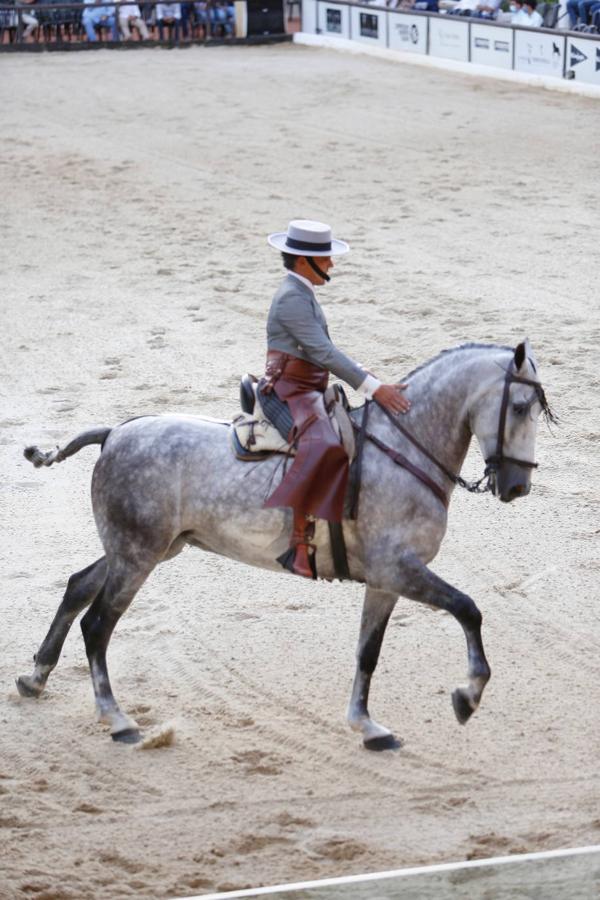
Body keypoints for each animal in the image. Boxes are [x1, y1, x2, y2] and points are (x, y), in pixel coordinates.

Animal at [15, 338, 552, 744]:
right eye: (520, 407)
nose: (517, 487)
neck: (404, 446)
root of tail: (114, 432)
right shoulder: (399, 568)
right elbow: (468, 608)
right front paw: (467, 696)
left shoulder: (384, 581)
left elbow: (368, 651)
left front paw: (367, 726)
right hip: (137, 556)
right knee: (98, 624)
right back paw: (117, 719)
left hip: (147, 548)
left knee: (78, 585)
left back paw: (35, 677)